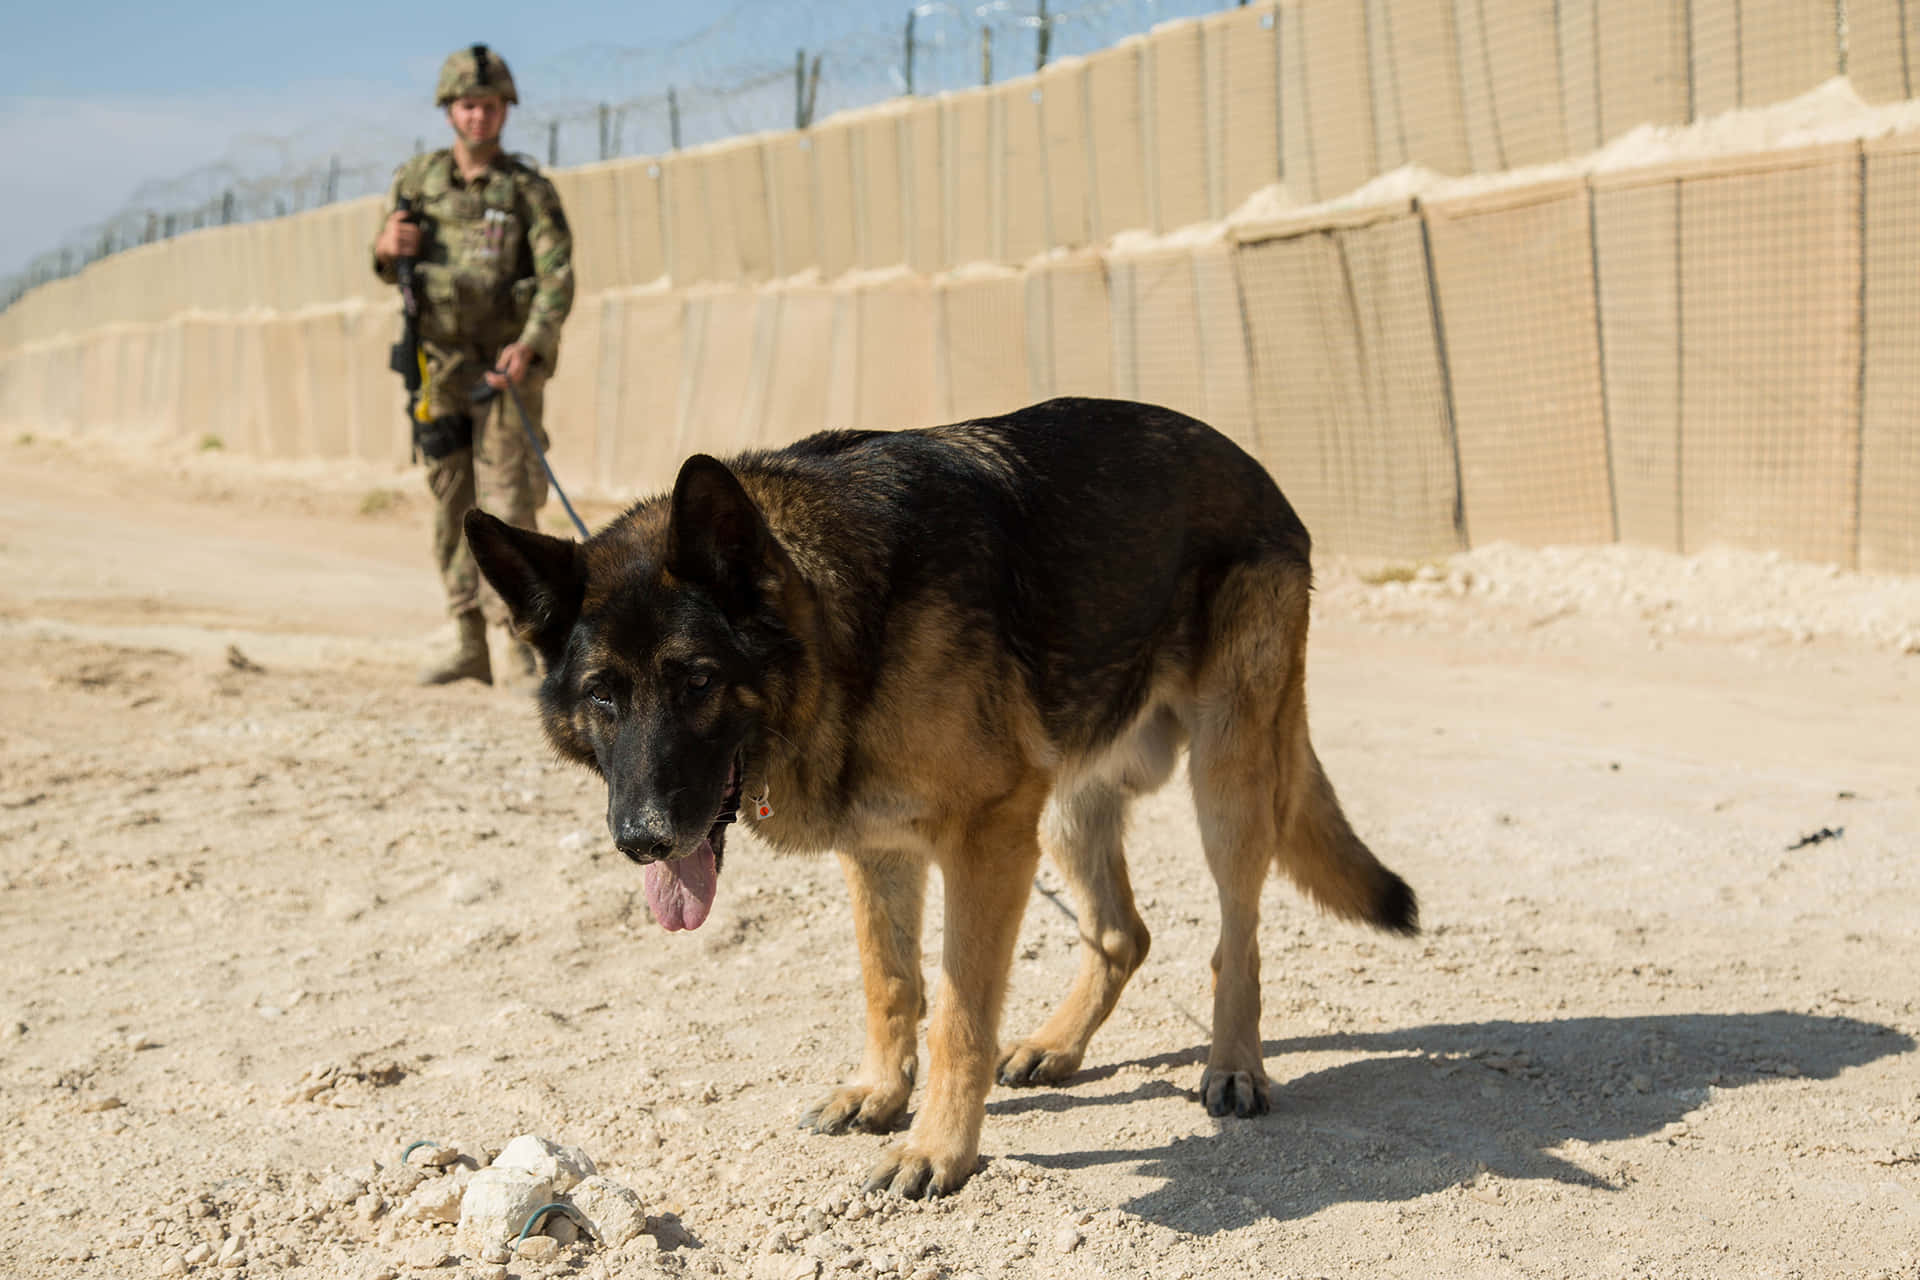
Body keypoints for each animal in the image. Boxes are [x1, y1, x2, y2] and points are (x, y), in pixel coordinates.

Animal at [468, 395, 1413, 1197]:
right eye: (603, 696)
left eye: (698, 679)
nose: (644, 839)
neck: (843, 632)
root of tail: (1258, 474)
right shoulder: (880, 848)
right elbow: (890, 983)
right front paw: (883, 1094)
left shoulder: (987, 841)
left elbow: (958, 1011)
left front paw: (938, 1150)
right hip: (1067, 807)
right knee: (1122, 933)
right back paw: (1058, 1045)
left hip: (1226, 781)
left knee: (1235, 939)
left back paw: (1236, 1065)